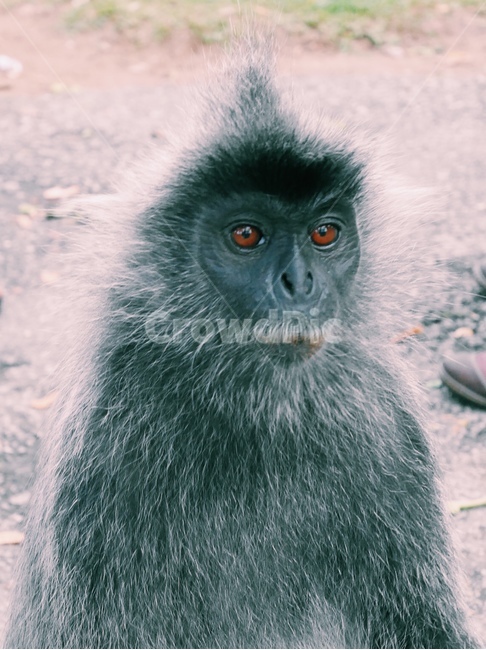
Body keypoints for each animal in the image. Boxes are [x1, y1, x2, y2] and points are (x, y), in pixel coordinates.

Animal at [4, 47, 480, 649]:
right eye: (247, 235)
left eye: (324, 233)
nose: (298, 284)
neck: (259, 408)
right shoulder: (99, 443)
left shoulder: (391, 423)